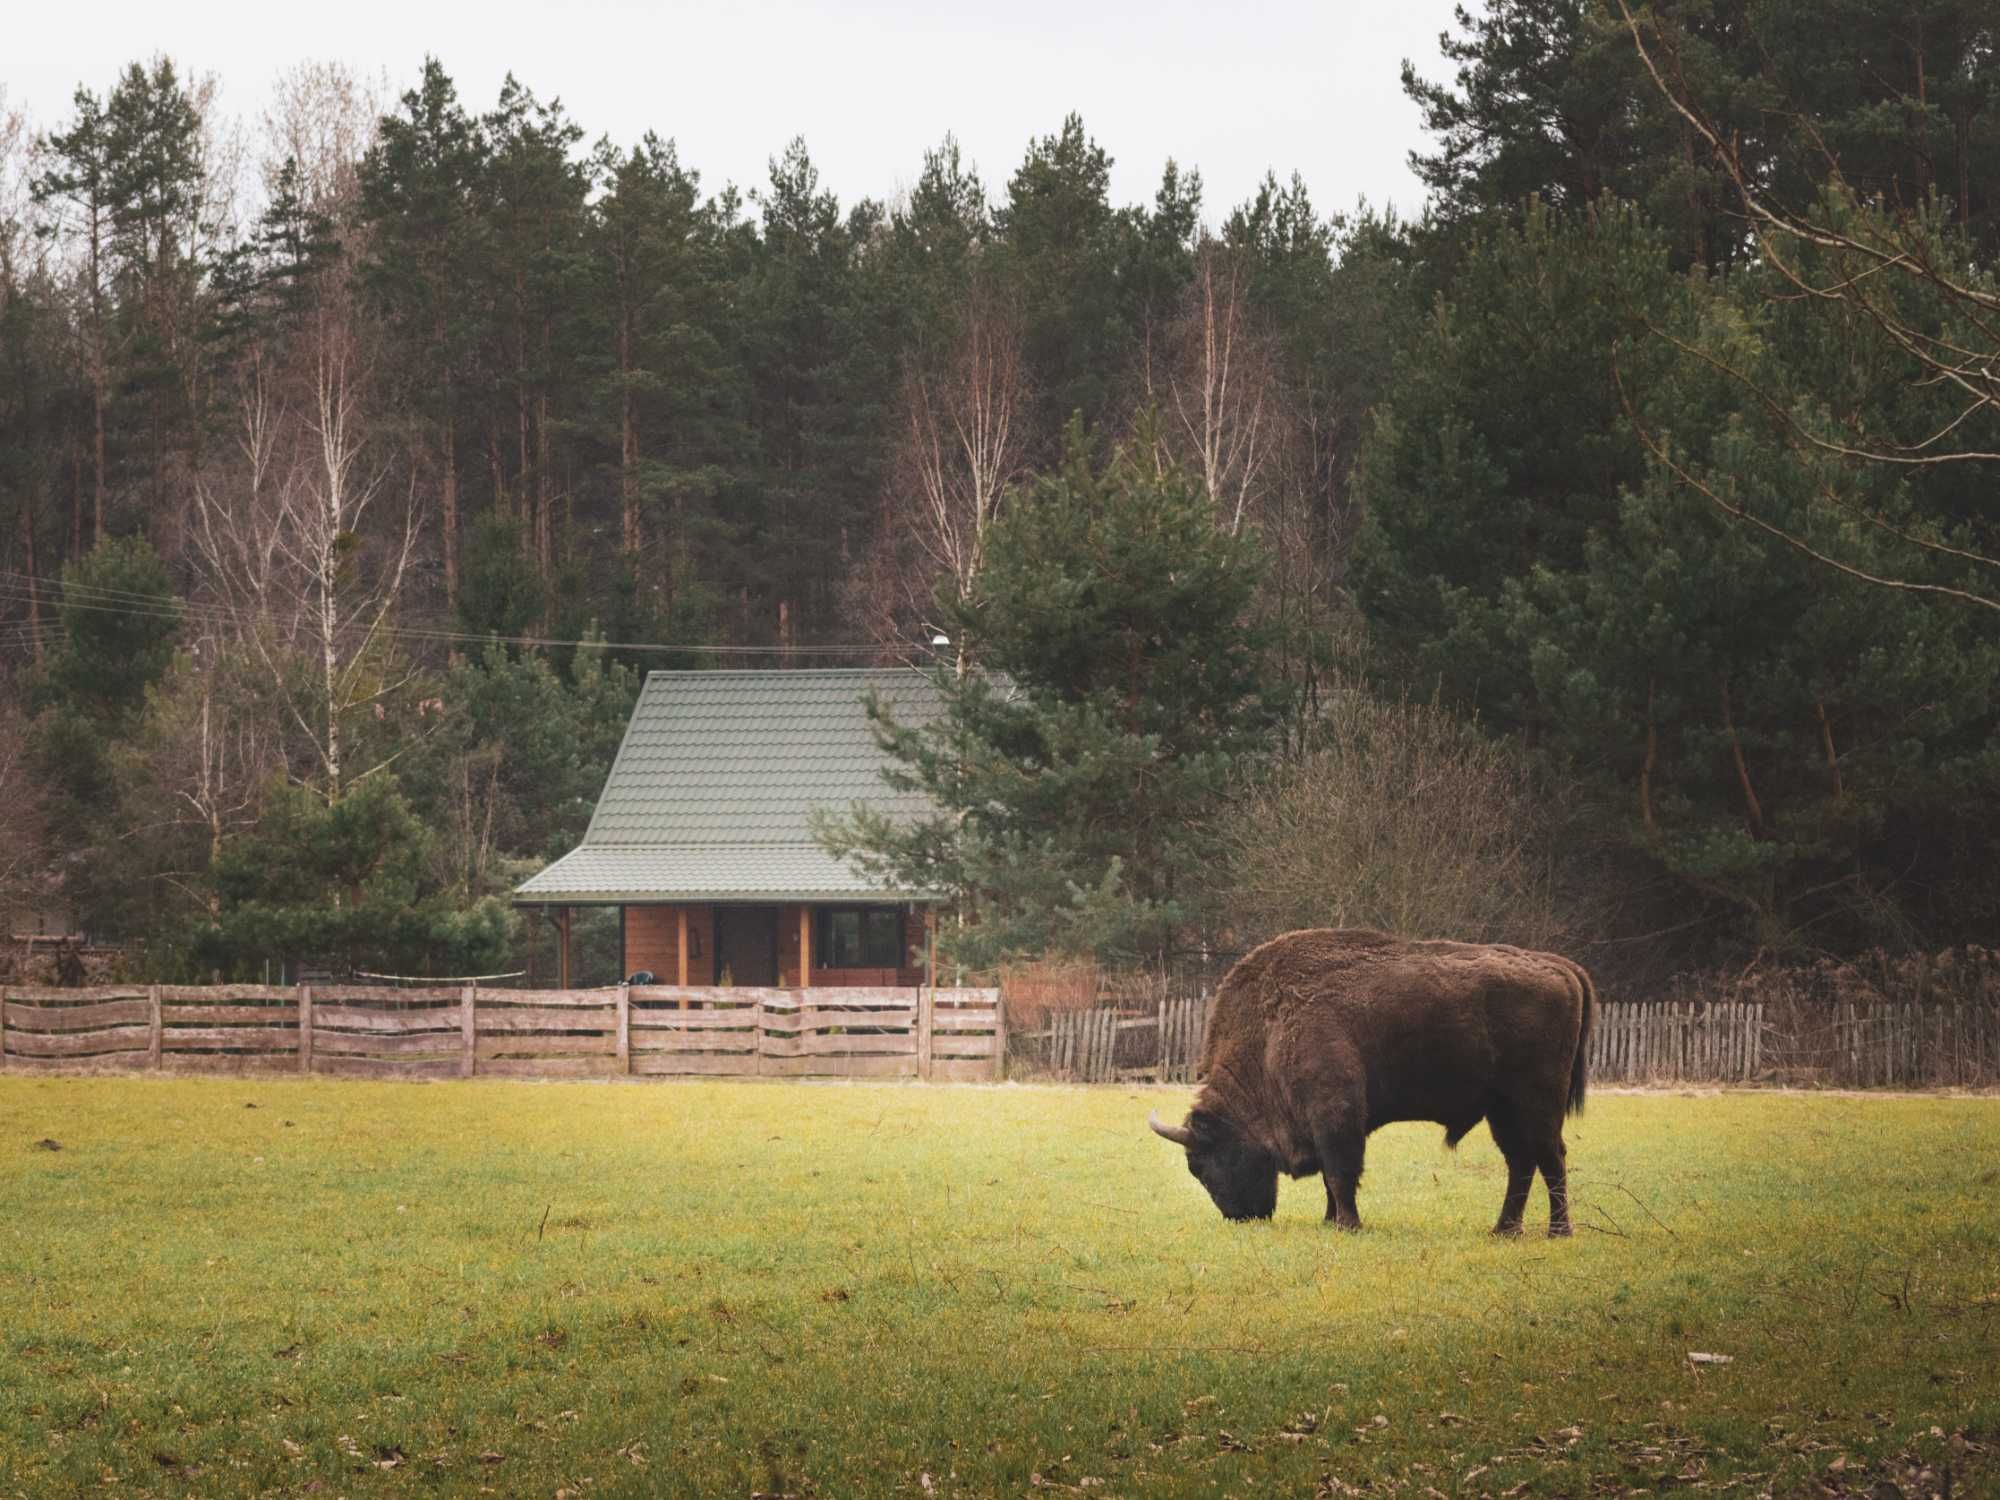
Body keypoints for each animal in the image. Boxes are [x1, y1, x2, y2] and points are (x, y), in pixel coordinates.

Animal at [1160, 936, 1592, 1240]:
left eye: (1204, 1163)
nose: (1241, 1216)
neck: (1271, 1029)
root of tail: (1560, 966)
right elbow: (1330, 1179)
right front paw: (1330, 1221)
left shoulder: (1336, 1115)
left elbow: (1340, 1174)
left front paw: (1347, 1225)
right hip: (1501, 1110)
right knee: (1521, 1162)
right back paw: (1504, 1230)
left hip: (1536, 1103)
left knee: (1550, 1157)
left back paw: (1557, 1232)